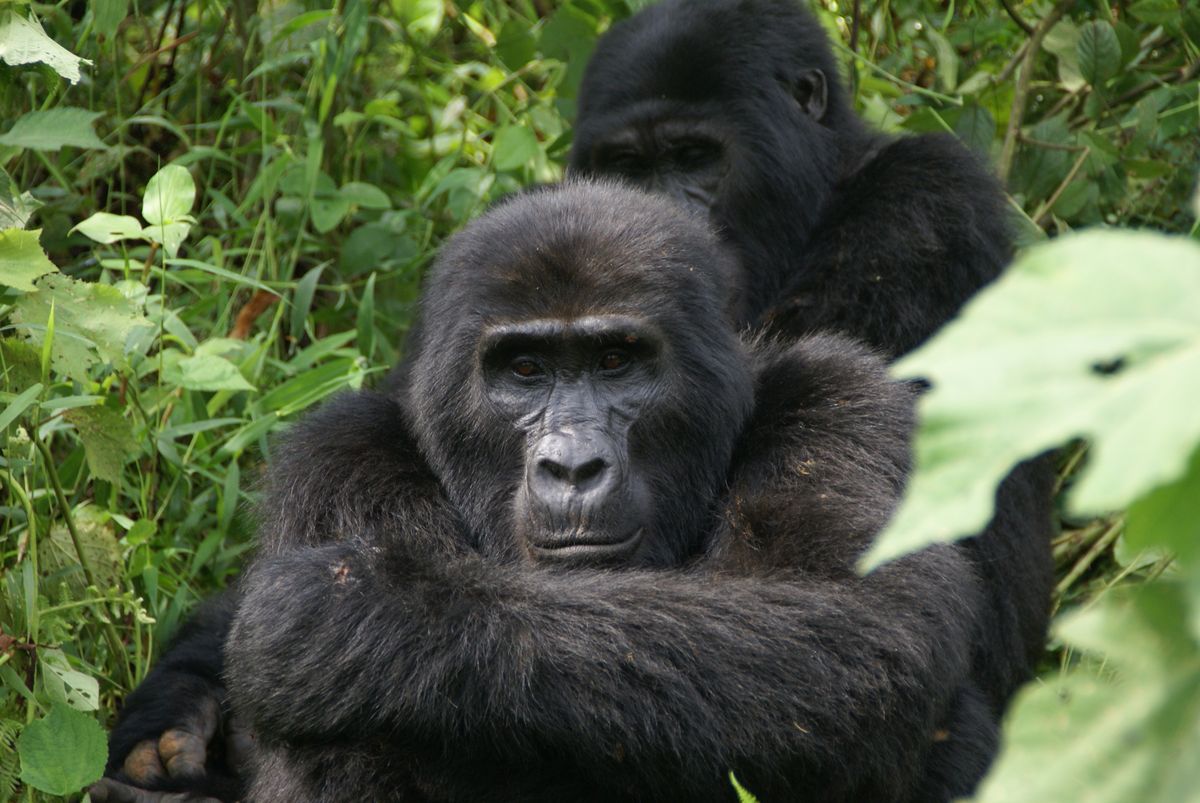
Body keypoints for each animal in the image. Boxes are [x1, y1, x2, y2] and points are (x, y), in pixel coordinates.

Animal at [93, 183, 998, 801]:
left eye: (616, 361)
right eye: (524, 369)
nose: (572, 466)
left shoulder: (845, 402)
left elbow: (859, 625)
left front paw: (352, 616)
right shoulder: (339, 457)